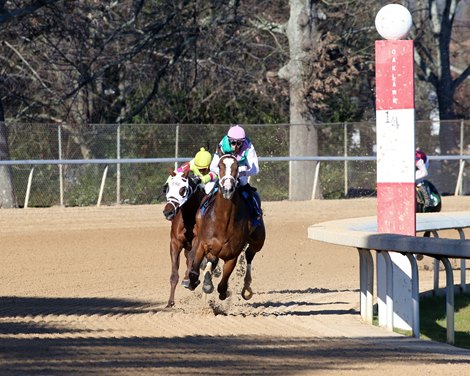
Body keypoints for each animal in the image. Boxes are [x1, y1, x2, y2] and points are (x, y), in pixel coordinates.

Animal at [162, 170, 205, 308]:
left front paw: (187, 279)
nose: (168, 212)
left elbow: (192, 256)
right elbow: (174, 273)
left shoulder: (198, 240)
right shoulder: (175, 243)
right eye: (168, 187)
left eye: (183, 189)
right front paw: (170, 302)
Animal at [188, 154, 268, 302]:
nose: (227, 189)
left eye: (237, 166)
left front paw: (217, 289)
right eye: (220, 165)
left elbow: (222, 285)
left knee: (249, 255)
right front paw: (196, 282)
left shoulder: (232, 255)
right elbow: (196, 269)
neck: (223, 223)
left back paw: (247, 287)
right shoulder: (203, 243)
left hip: (258, 240)